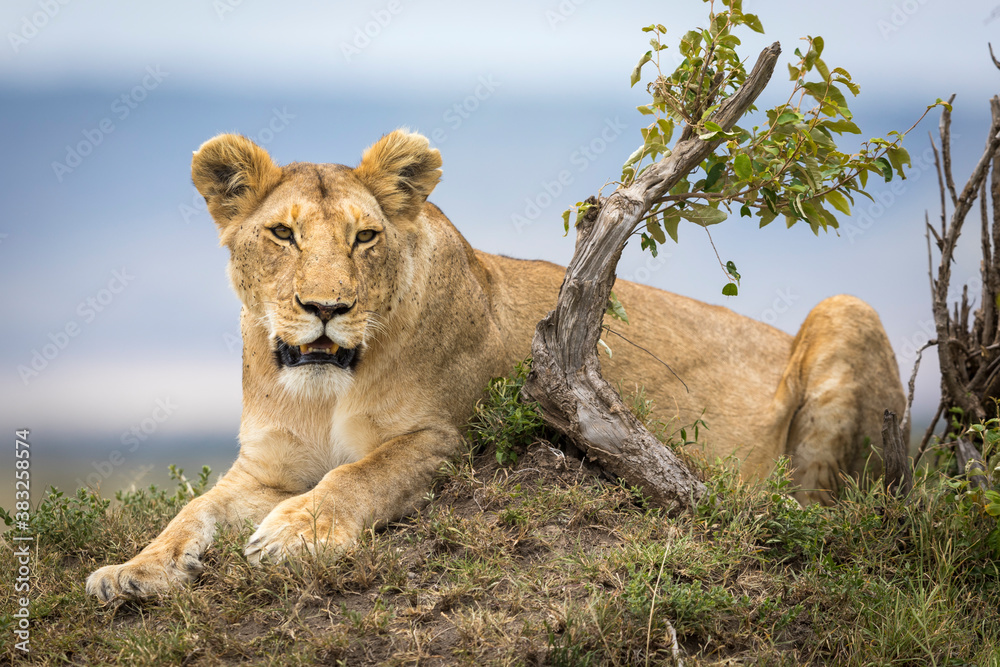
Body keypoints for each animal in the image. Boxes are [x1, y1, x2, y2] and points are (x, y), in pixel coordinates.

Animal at [86, 130, 906, 601]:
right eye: (282, 233)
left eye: (364, 237)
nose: (325, 308)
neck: (322, 390)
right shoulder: (264, 467)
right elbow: (192, 511)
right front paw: (133, 570)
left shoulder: (442, 439)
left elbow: (358, 476)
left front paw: (296, 534)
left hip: (846, 311)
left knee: (833, 503)